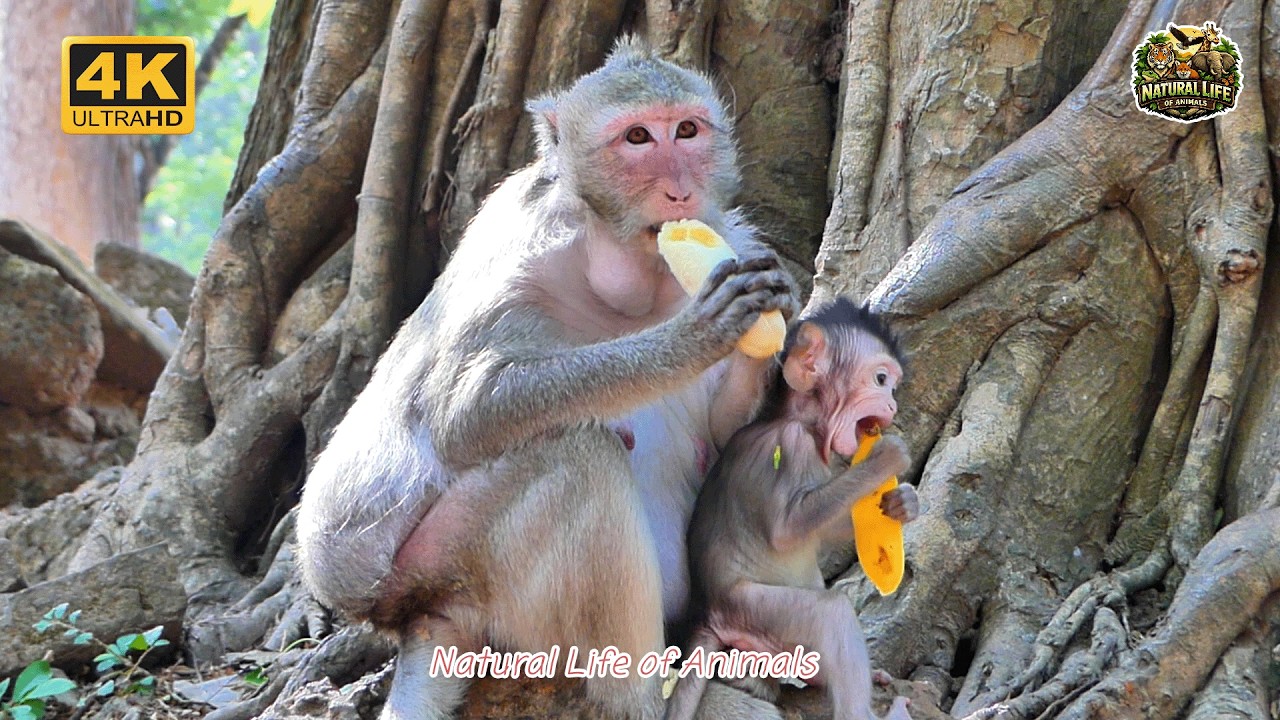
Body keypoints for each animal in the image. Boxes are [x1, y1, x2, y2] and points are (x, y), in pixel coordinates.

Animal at [295, 37, 800, 720]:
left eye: (687, 131)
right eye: (638, 138)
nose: (681, 192)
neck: (619, 272)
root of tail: (417, 617)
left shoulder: (733, 238)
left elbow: (722, 436)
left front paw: (773, 312)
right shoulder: (521, 256)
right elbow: (465, 413)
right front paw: (690, 338)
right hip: (447, 563)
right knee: (577, 454)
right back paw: (646, 697)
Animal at [665, 299, 917, 720]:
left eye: (892, 386)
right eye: (881, 379)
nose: (893, 403)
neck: (802, 421)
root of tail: (707, 617)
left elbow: (824, 529)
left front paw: (904, 503)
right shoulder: (792, 444)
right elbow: (789, 529)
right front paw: (886, 459)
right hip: (750, 611)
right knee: (831, 614)